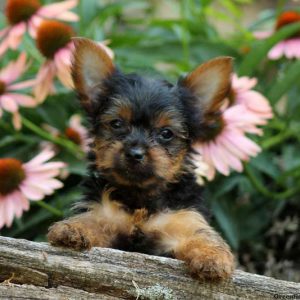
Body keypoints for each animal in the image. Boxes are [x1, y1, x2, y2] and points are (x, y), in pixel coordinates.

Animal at [47, 38, 234, 282]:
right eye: (116, 124)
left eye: (166, 133)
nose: (135, 153)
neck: (140, 197)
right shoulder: (104, 214)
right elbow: (91, 221)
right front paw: (71, 230)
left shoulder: (183, 220)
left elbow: (202, 235)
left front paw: (212, 258)